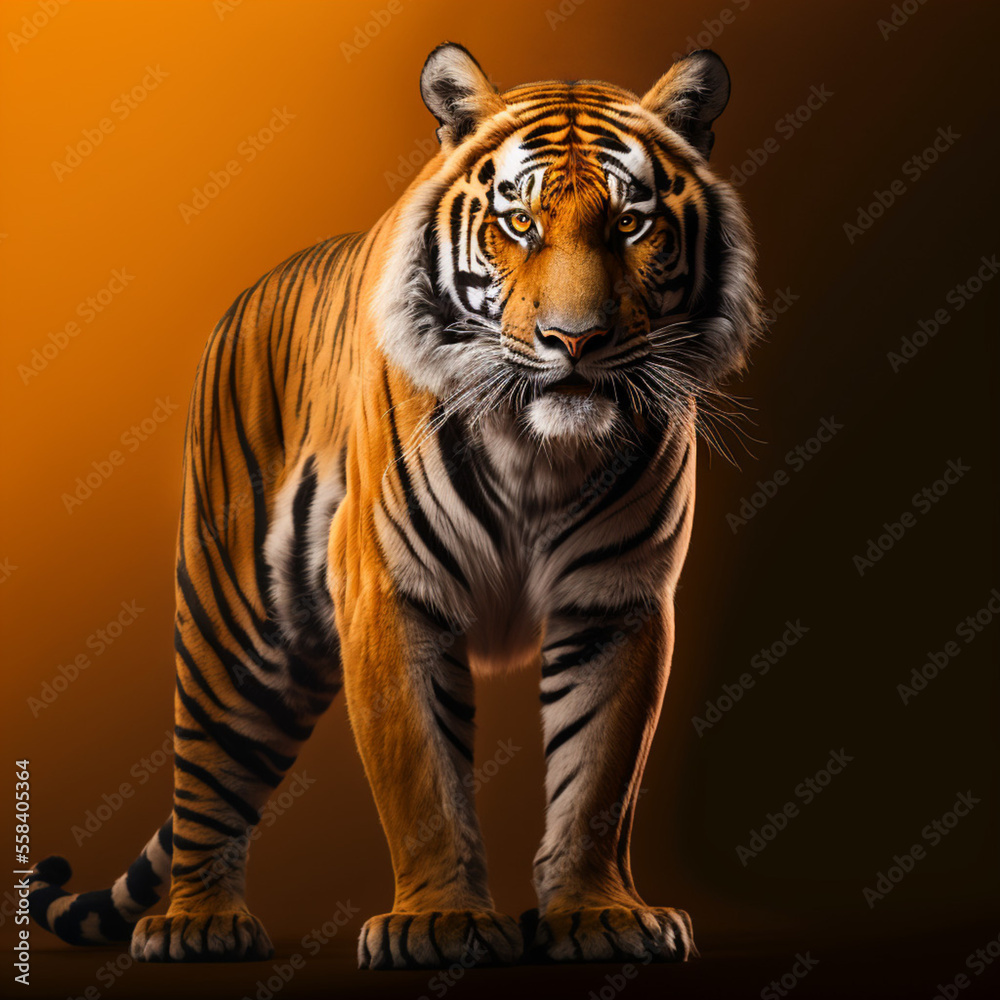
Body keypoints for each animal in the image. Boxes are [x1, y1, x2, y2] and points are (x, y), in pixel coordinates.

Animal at [28, 42, 762, 968]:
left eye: (632, 224)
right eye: (518, 223)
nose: (575, 340)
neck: (539, 450)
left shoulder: (617, 599)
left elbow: (598, 776)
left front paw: (600, 914)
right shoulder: (392, 592)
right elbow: (421, 776)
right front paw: (439, 923)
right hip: (232, 628)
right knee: (203, 772)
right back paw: (199, 923)